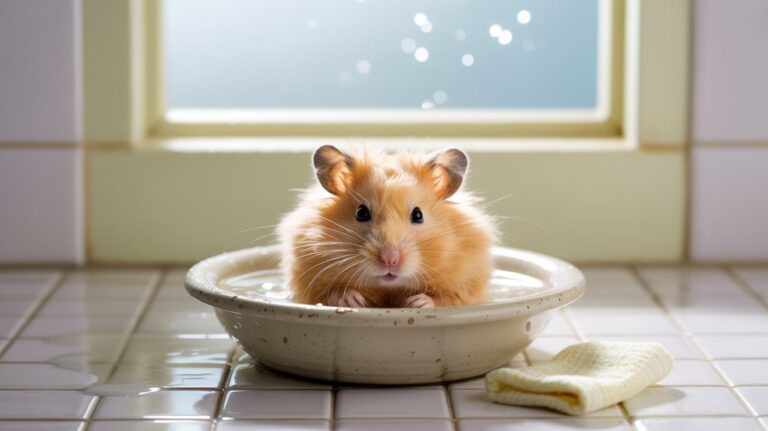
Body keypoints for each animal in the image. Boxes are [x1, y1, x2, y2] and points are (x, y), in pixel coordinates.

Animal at [278, 145, 497, 308]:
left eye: (418, 214)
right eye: (361, 213)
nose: (390, 260)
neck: (388, 290)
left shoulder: (467, 285)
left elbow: (445, 298)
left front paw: (417, 302)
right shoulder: (310, 282)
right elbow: (332, 294)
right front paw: (353, 300)